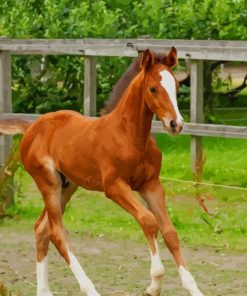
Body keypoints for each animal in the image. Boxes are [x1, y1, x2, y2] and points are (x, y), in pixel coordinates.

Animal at [0, 47, 204, 294]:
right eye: (153, 88)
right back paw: (90, 289)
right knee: (57, 233)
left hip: (68, 185)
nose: (176, 124)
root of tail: (31, 127)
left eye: (176, 85)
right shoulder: (114, 187)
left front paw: (194, 288)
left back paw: (45, 291)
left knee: (42, 229)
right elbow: (148, 220)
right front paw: (154, 284)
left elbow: (170, 232)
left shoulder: (151, 185)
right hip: (48, 182)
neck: (130, 136)